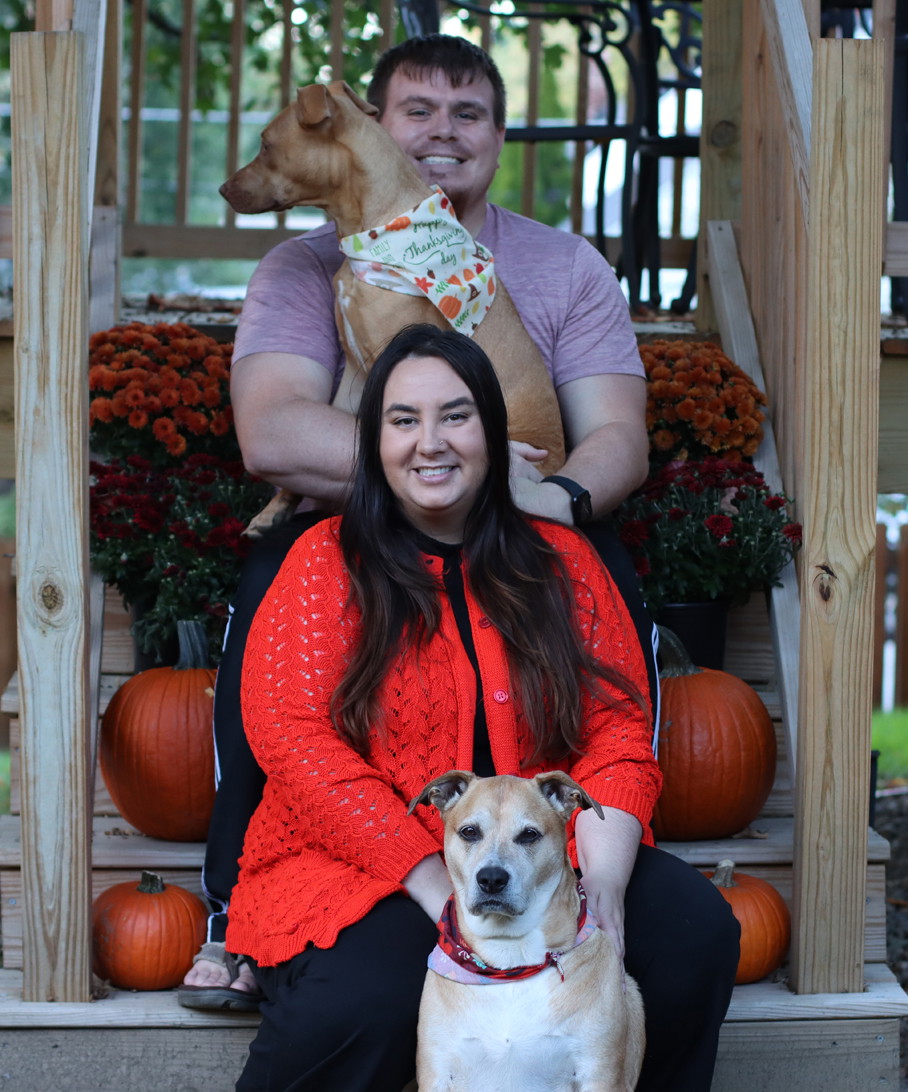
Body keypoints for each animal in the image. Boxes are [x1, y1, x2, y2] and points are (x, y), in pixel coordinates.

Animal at [410, 768, 646, 1092]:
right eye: (469, 832)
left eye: (529, 835)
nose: (491, 879)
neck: (510, 959)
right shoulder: (437, 1073)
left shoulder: (600, 1074)